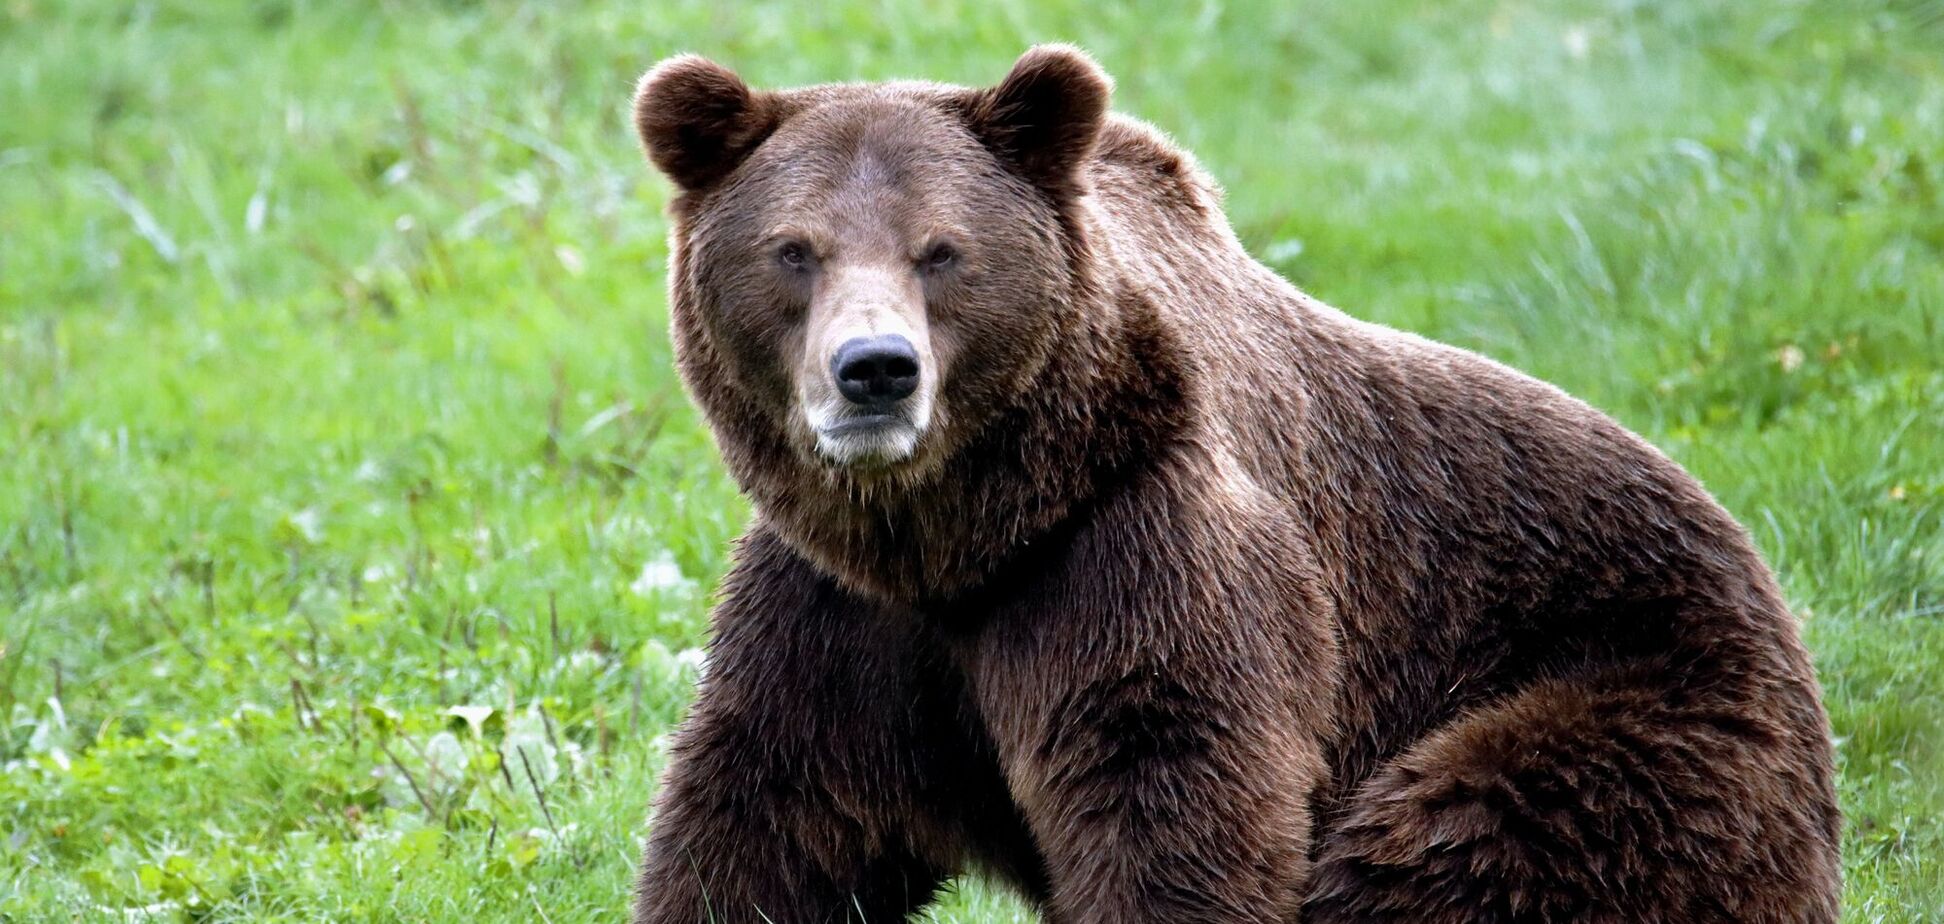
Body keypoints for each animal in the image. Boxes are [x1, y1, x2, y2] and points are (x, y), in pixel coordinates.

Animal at [626, 45, 1842, 923]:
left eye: (942, 251)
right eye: (796, 249)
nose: (875, 370)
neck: (962, 534)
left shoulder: (1139, 550)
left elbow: (1175, 796)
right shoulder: (844, 618)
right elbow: (771, 821)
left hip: (1630, 699)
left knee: (1460, 838)